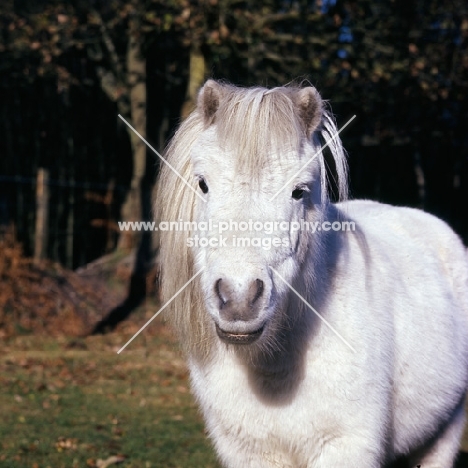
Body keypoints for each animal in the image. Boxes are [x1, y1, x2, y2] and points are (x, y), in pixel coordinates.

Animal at [155, 78, 468, 466]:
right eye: (202, 183)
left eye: (298, 191)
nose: (239, 298)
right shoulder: (249, 452)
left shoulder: (344, 447)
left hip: (444, 435)